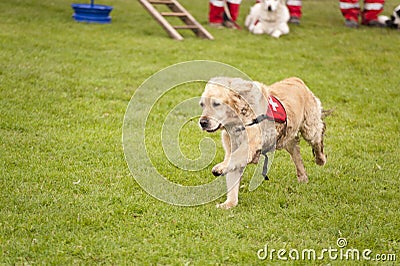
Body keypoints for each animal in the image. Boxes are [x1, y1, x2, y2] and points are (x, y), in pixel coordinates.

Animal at [198, 76, 326, 209]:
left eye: (216, 104)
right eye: (202, 105)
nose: (202, 122)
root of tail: (297, 80)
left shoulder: (249, 145)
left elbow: (235, 157)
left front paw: (220, 167)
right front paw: (229, 204)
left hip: (309, 129)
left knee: (318, 138)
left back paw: (320, 159)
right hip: (288, 139)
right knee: (297, 156)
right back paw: (303, 178)